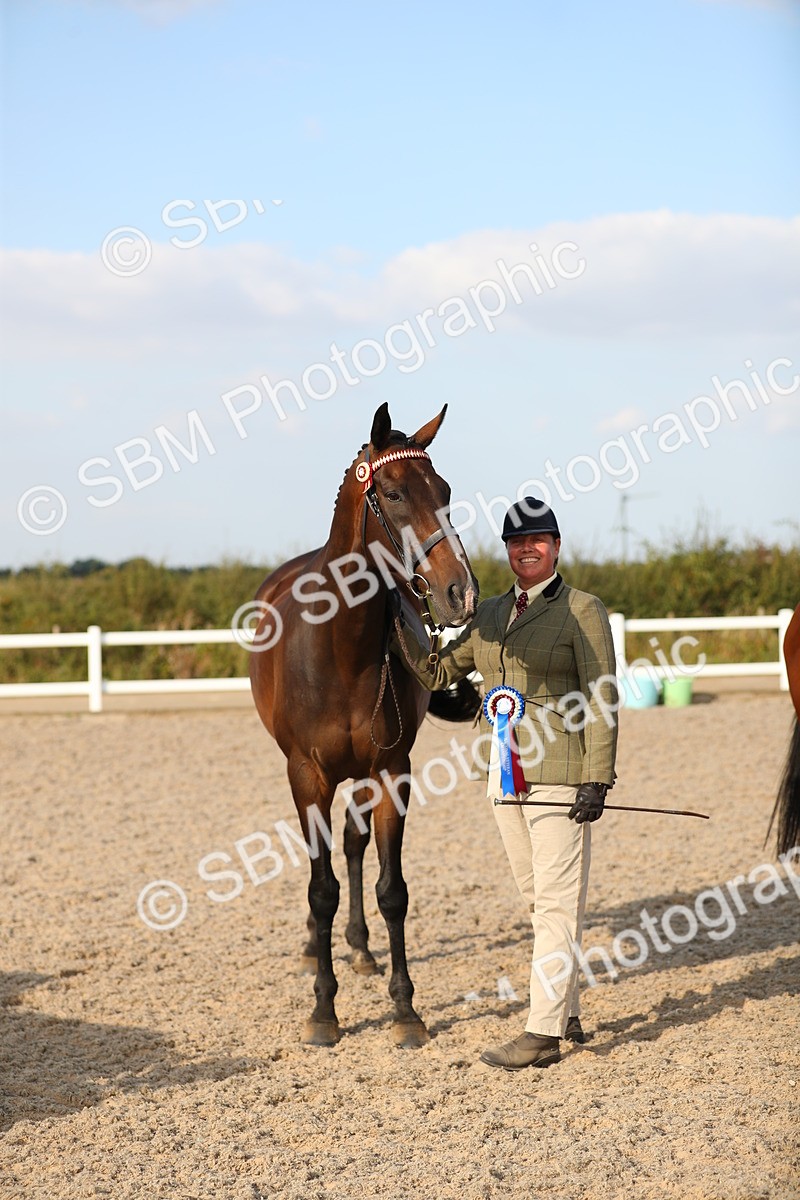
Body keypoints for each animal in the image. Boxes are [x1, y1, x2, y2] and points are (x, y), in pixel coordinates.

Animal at [249, 403, 479, 1048]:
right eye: (394, 494)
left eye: (445, 491)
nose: (460, 593)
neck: (341, 647)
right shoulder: (308, 776)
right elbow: (320, 888)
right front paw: (324, 1011)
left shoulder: (391, 771)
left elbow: (391, 890)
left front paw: (404, 1010)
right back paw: (317, 948)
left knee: (352, 847)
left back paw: (359, 949)